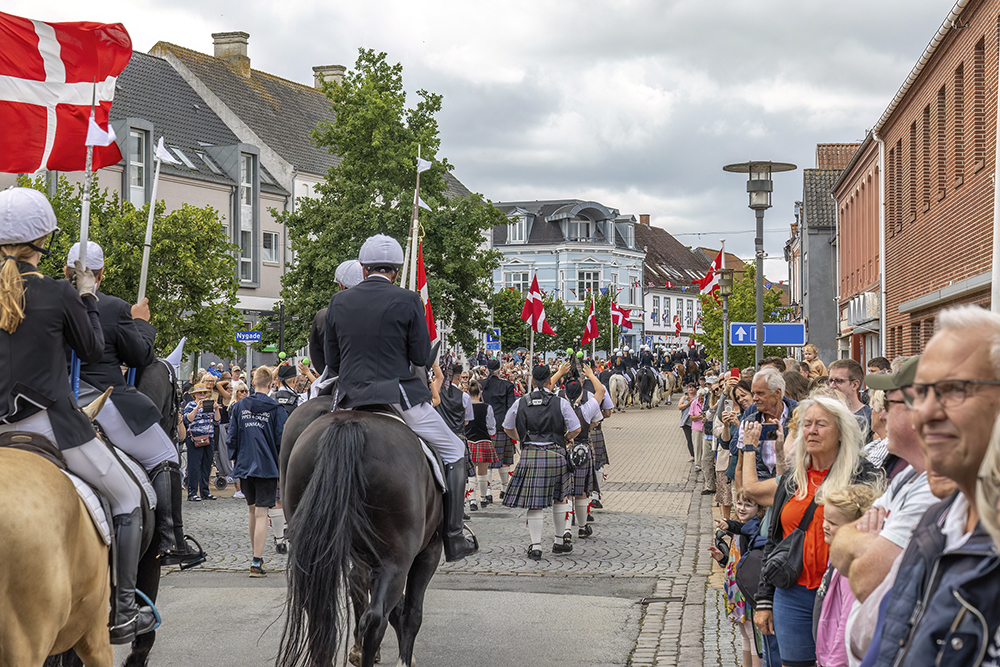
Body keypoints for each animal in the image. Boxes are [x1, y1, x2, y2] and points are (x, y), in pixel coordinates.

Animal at [278, 404, 442, 667]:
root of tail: (348, 424)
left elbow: (361, 587)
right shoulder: (429, 551)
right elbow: (411, 613)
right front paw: (403, 658)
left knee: (320, 612)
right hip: (397, 559)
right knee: (376, 618)